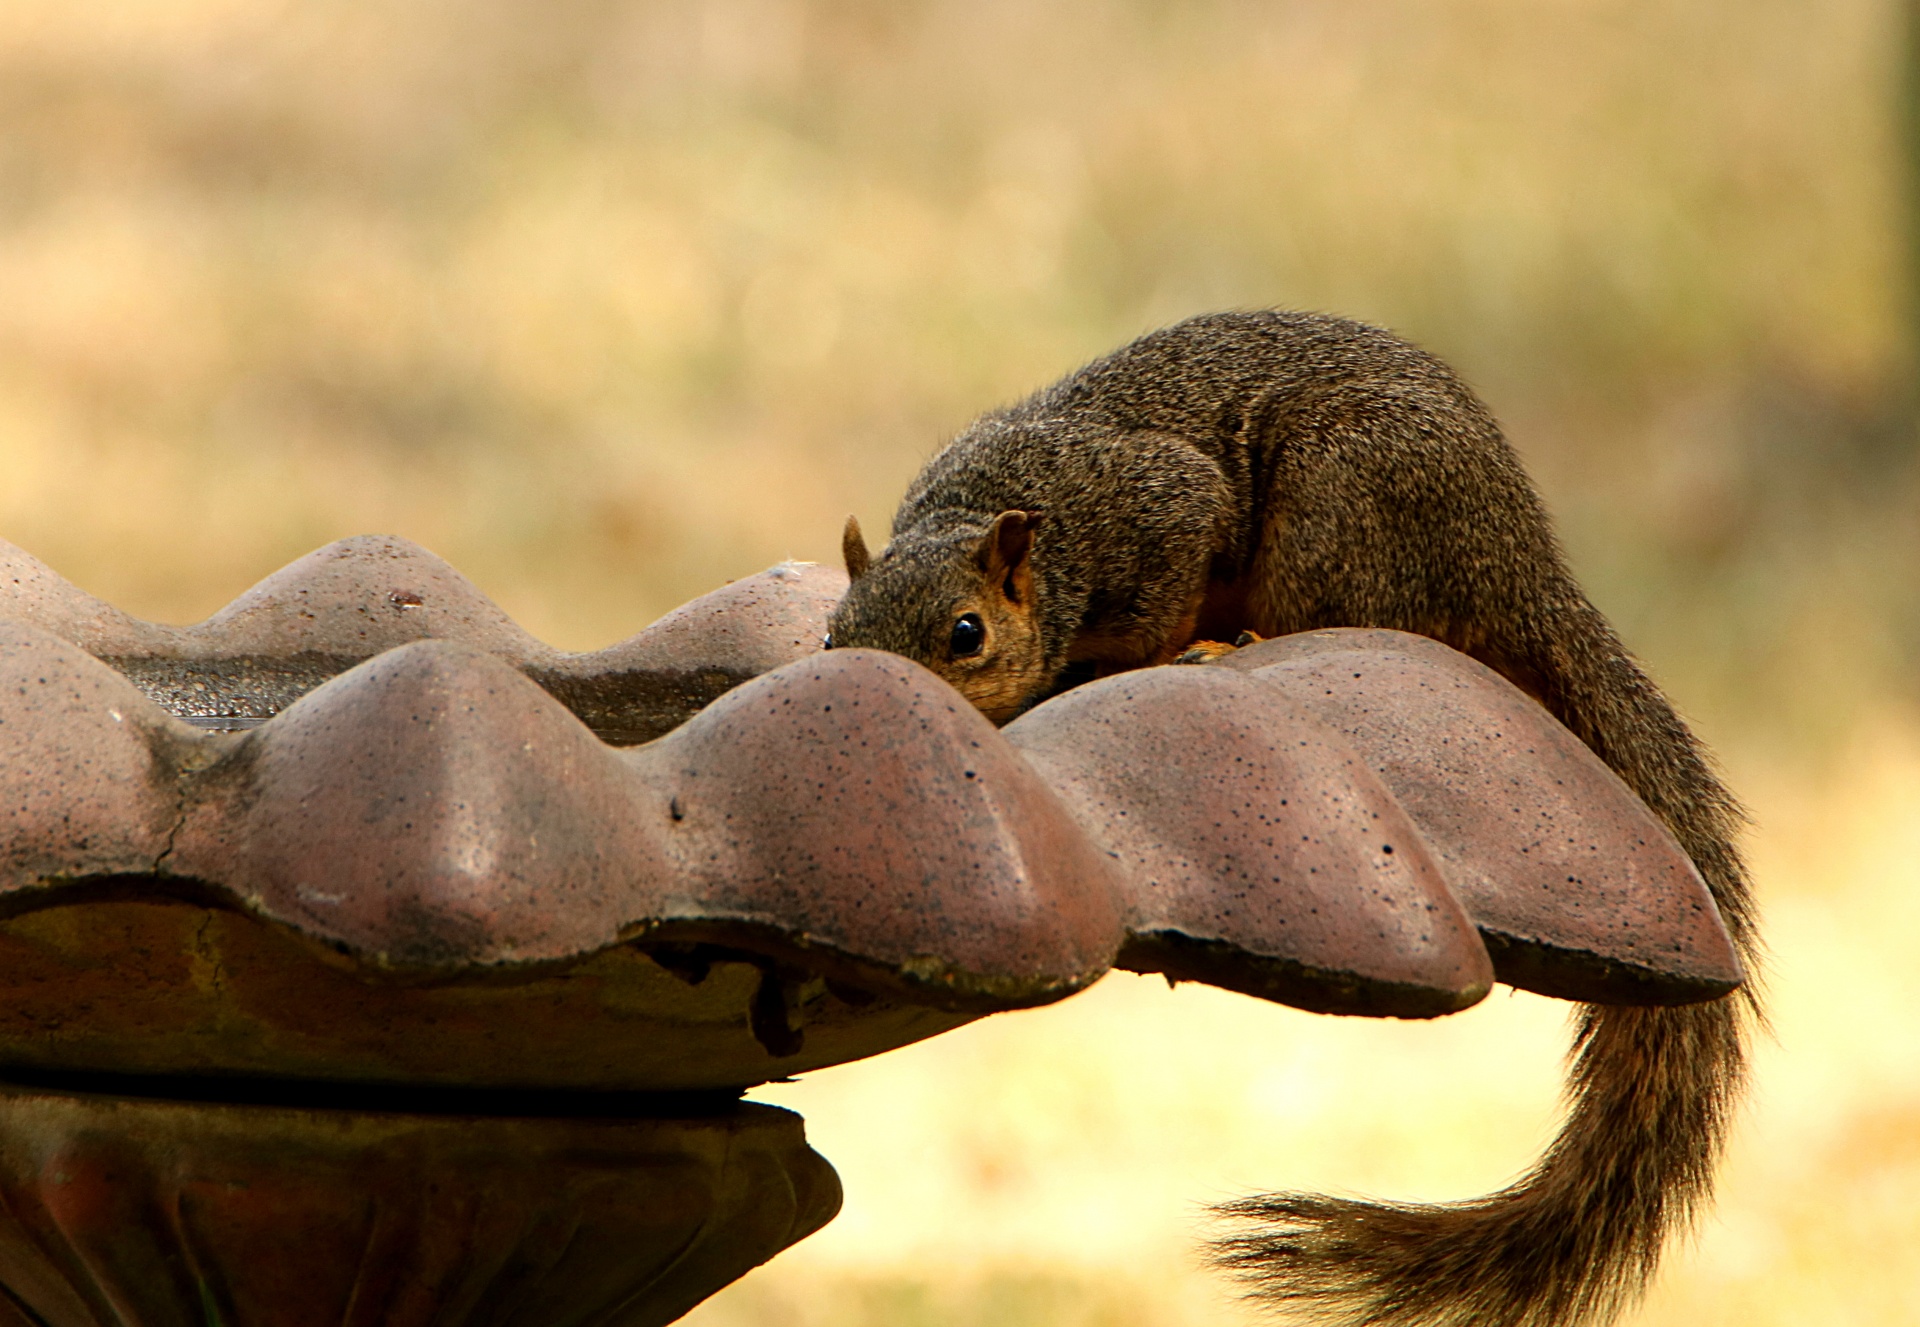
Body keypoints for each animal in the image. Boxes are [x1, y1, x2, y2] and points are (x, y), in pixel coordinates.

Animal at [825, 305, 1758, 1321]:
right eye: (835, 633)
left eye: (967, 634)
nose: (879, 692)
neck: (1000, 508)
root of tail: (1518, 562)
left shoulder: (1162, 513)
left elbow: (1162, 593)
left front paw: (1138, 659)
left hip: (1338, 503)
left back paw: (1235, 641)